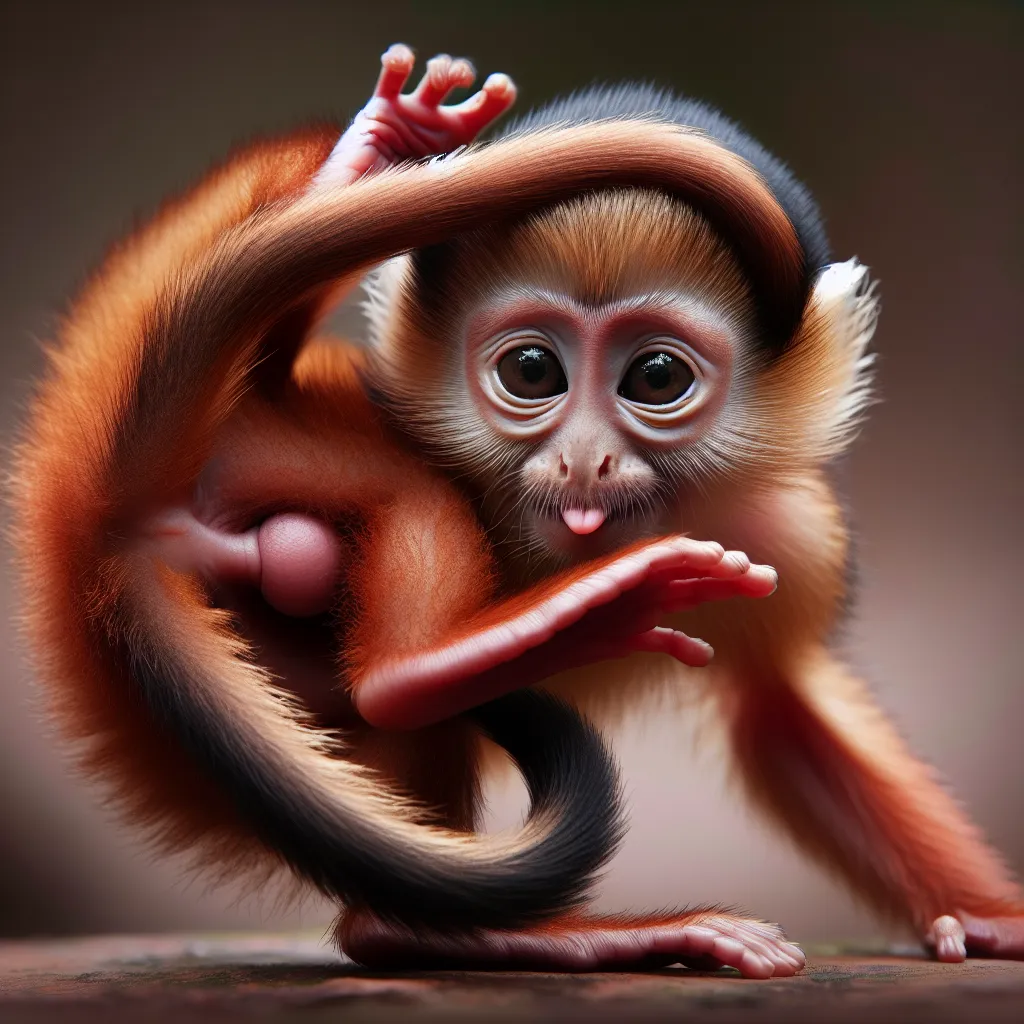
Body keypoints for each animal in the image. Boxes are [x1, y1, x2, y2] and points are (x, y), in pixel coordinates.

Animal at [11, 43, 1021, 976]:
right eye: (532, 371)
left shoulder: (792, 534)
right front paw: (387, 145)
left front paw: (985, 919)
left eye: (657, 378)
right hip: (268, 450)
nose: (584, 458)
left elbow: (782, 707)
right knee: (402, 557)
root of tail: (106, 512)